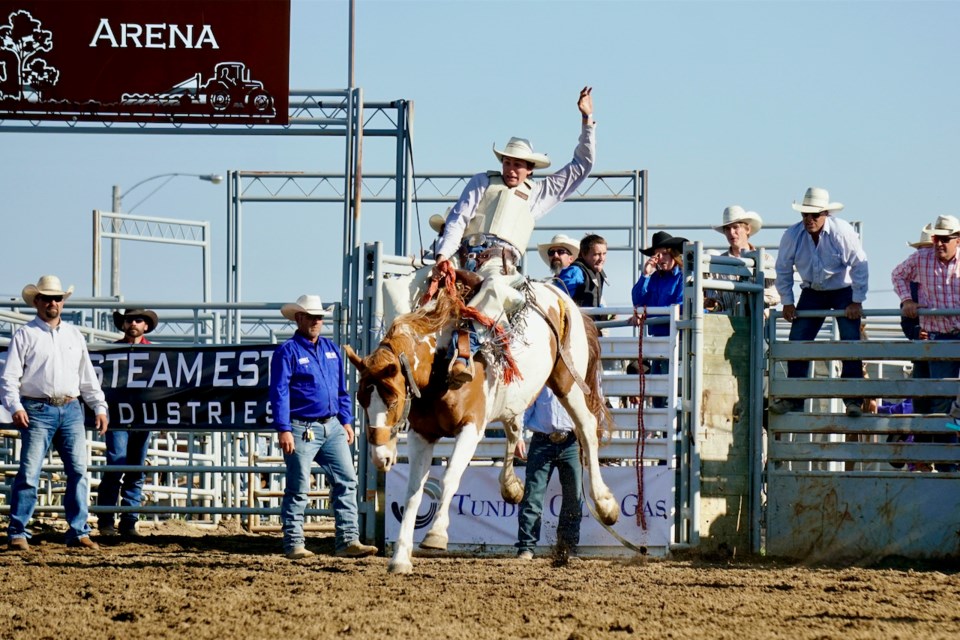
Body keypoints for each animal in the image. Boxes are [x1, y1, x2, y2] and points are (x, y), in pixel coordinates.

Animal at [342, 264, 620, 576]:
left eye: (392, 400)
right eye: (362, 401)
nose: (381, 458)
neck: (440, 363)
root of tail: (560, 294)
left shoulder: (471, 428)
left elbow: (450, 478)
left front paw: (436, 535)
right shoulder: (421, 434)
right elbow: (413, 492)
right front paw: (400, 558)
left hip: (567, 382)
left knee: (586, 428)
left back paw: (605, 505)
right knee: (514, 428)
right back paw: (511, 486)